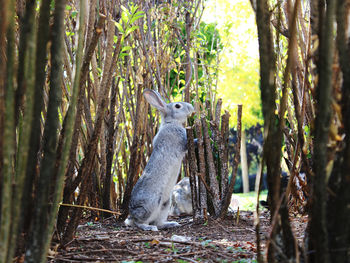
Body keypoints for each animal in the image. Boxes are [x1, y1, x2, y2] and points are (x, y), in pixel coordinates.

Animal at [124, 88, 194, 231]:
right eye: (177, 106)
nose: (191, 107)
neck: (171, 122)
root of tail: (131, 216)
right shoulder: (181, 140)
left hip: (165, 204)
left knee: (158, 222)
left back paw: (171, 224)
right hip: (150, 204)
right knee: (139, 222)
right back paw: (149, 228)